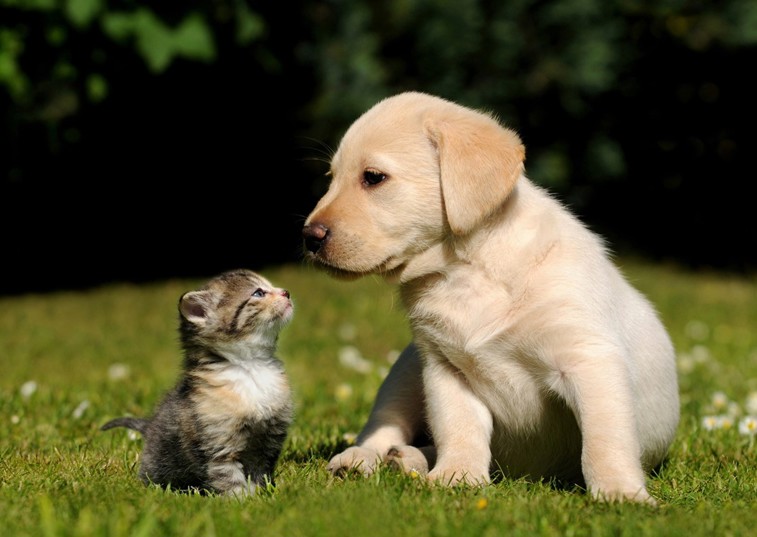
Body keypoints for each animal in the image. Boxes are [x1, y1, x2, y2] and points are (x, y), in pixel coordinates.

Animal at [98, 268, 292, 498]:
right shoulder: (218, 444)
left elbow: (259, 472)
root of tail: (150, 426)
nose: (287, 292)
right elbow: (228, 476)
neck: (251, 367)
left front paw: (262, 495)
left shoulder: (267, 440)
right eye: (258, 293)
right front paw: (240, 500)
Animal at [302, 91, 680, 502]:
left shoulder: (589, 360)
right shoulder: (445, 368)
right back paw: (367, 458)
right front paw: (457, 476)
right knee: (384, 425)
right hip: (405, 371)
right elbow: (459, 428)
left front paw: (620, 493)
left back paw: (407, 459)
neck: (466, 271)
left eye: (373, 177)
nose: (308, 237)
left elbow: (605, 440)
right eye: (331, 179)